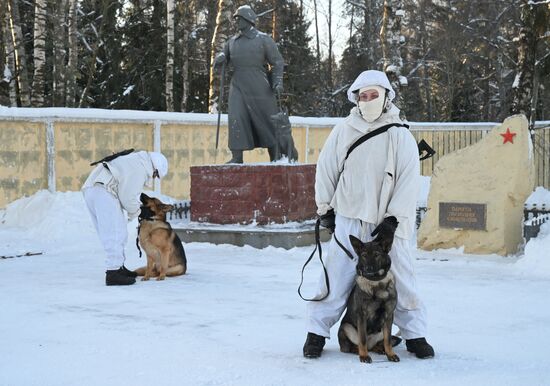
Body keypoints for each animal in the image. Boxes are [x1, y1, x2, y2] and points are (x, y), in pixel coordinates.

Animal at [336, 234, 402, 364]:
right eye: (364, 255)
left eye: (377, 254)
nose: (368, 268)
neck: (376, 283)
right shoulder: (362, 316)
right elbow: (362, 339)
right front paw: (364, 356)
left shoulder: (389, 316)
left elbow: (387, 340)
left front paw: (390, 354)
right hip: (346, 327)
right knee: (351, 346)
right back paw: (357, 351)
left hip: (380, 330)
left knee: (377, 344)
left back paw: (379, 349)